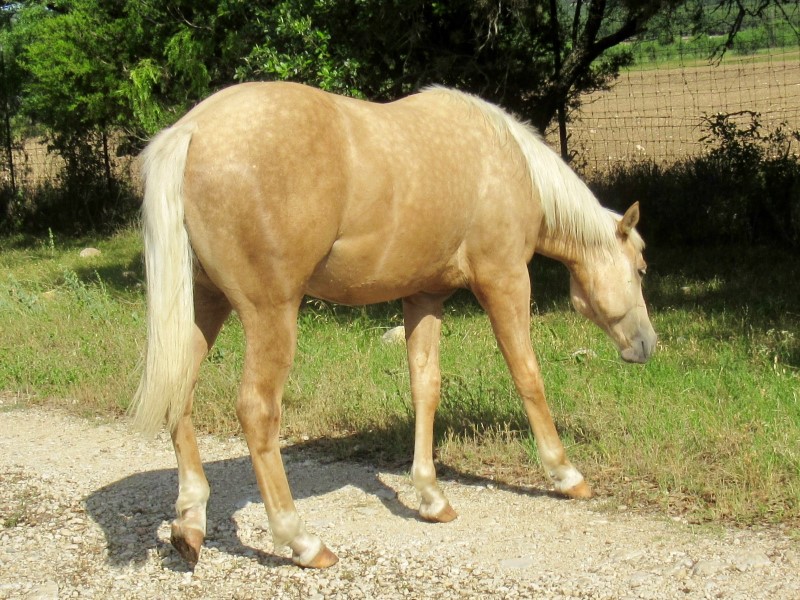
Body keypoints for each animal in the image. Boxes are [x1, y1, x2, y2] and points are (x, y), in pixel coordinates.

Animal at [133, 82, 656, 568]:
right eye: (641, 269)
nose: (647, 345)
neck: (506, 161)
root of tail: (191, 131)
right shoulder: (504, 279)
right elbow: (528, 375)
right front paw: (566, 474)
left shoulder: (424, 297)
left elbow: (425, 387)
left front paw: (431, 497)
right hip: (271, 313)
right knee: (257, 411)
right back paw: (302, 541)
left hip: (205, 303)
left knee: (181, 393)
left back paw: (190, 524)